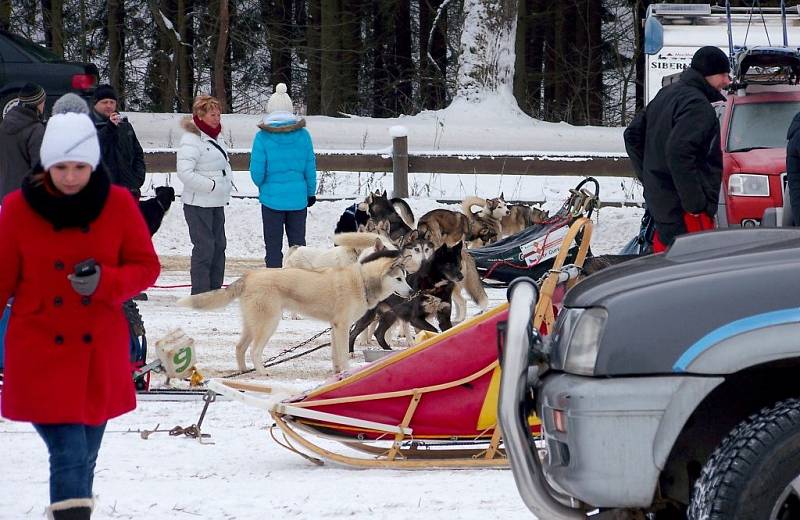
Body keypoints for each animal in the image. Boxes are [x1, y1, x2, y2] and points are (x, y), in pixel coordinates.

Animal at [177, 251, 410, 376]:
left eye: (406, 277)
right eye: (399, 279)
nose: (411, 291)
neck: (361, 281)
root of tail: (249, 275)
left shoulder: (335, 327)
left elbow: (335, 354)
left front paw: (337, 372)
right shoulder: (343, 326)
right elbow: (343, 354)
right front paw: (345, 371)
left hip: (252, 325)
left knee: (239, 347)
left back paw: (244, 371)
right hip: (268, 324)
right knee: (254, 350)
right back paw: (262, 371)